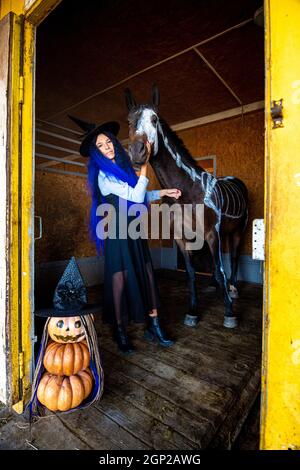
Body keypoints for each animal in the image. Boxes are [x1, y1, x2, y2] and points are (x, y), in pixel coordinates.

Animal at [124, 83, 248, 326]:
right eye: (128, 121)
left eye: (154, 119)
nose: (136, 152)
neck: (188, 189)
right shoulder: (182, 237)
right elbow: (191, 273)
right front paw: (192, 311)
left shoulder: (211, 233)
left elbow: (220, 269)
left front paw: (229, 312)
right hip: (225, 232)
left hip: (239, 231)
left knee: (235, 257)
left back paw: (233, 289)